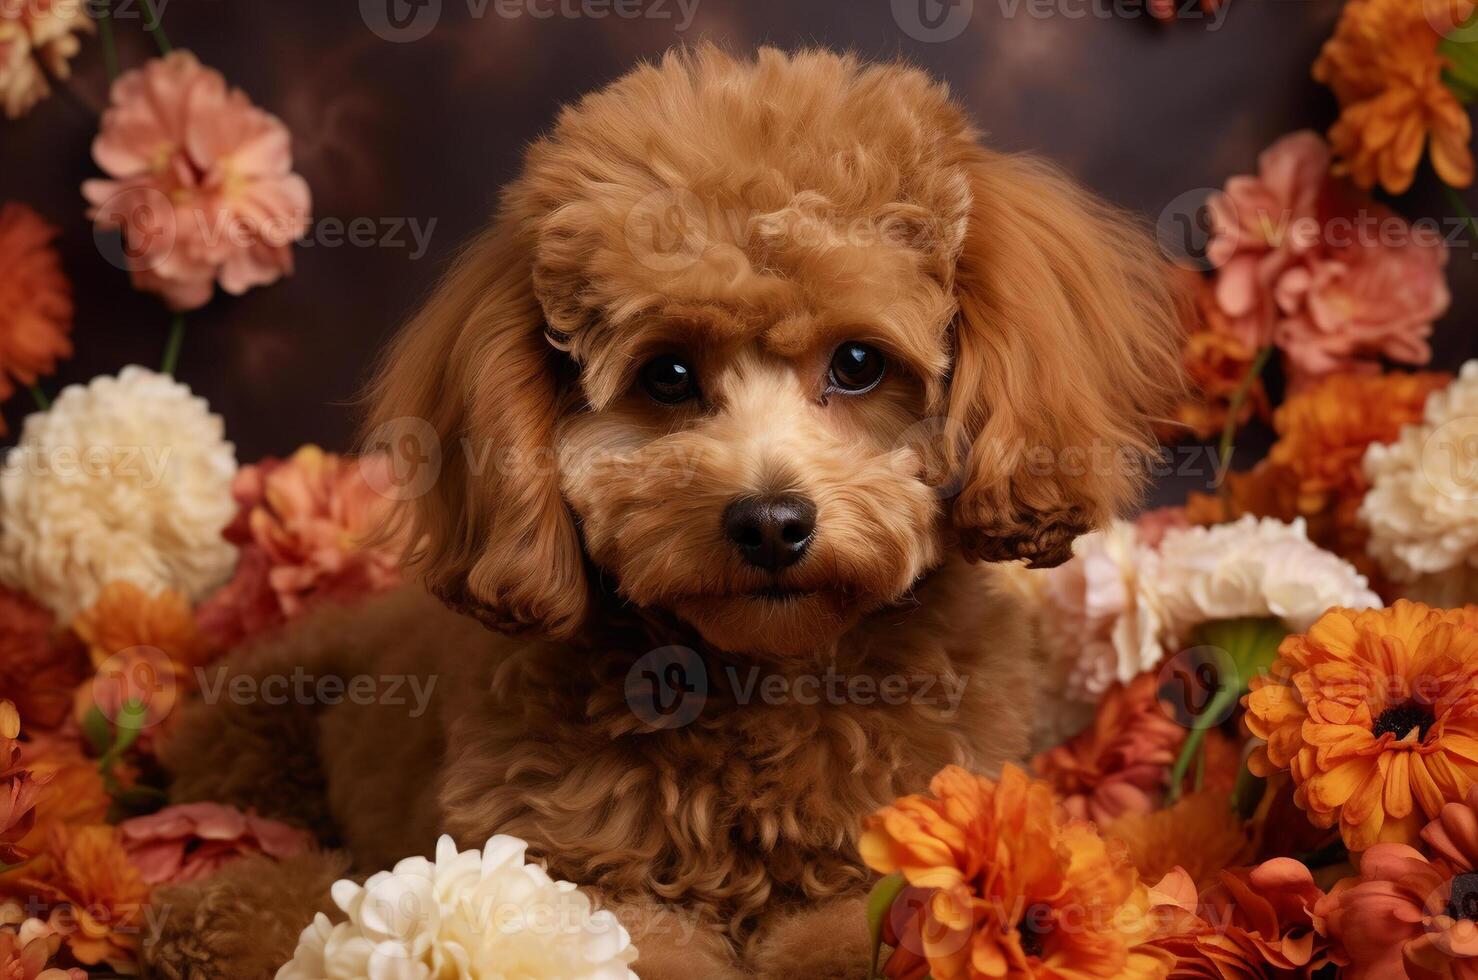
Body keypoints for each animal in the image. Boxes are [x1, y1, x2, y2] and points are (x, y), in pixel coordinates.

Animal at [144, 42, 1182, 975]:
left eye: (857, 363)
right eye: (668, 375)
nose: (770, 523)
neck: (763, 682)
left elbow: (848, 938)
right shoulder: (569, 877)